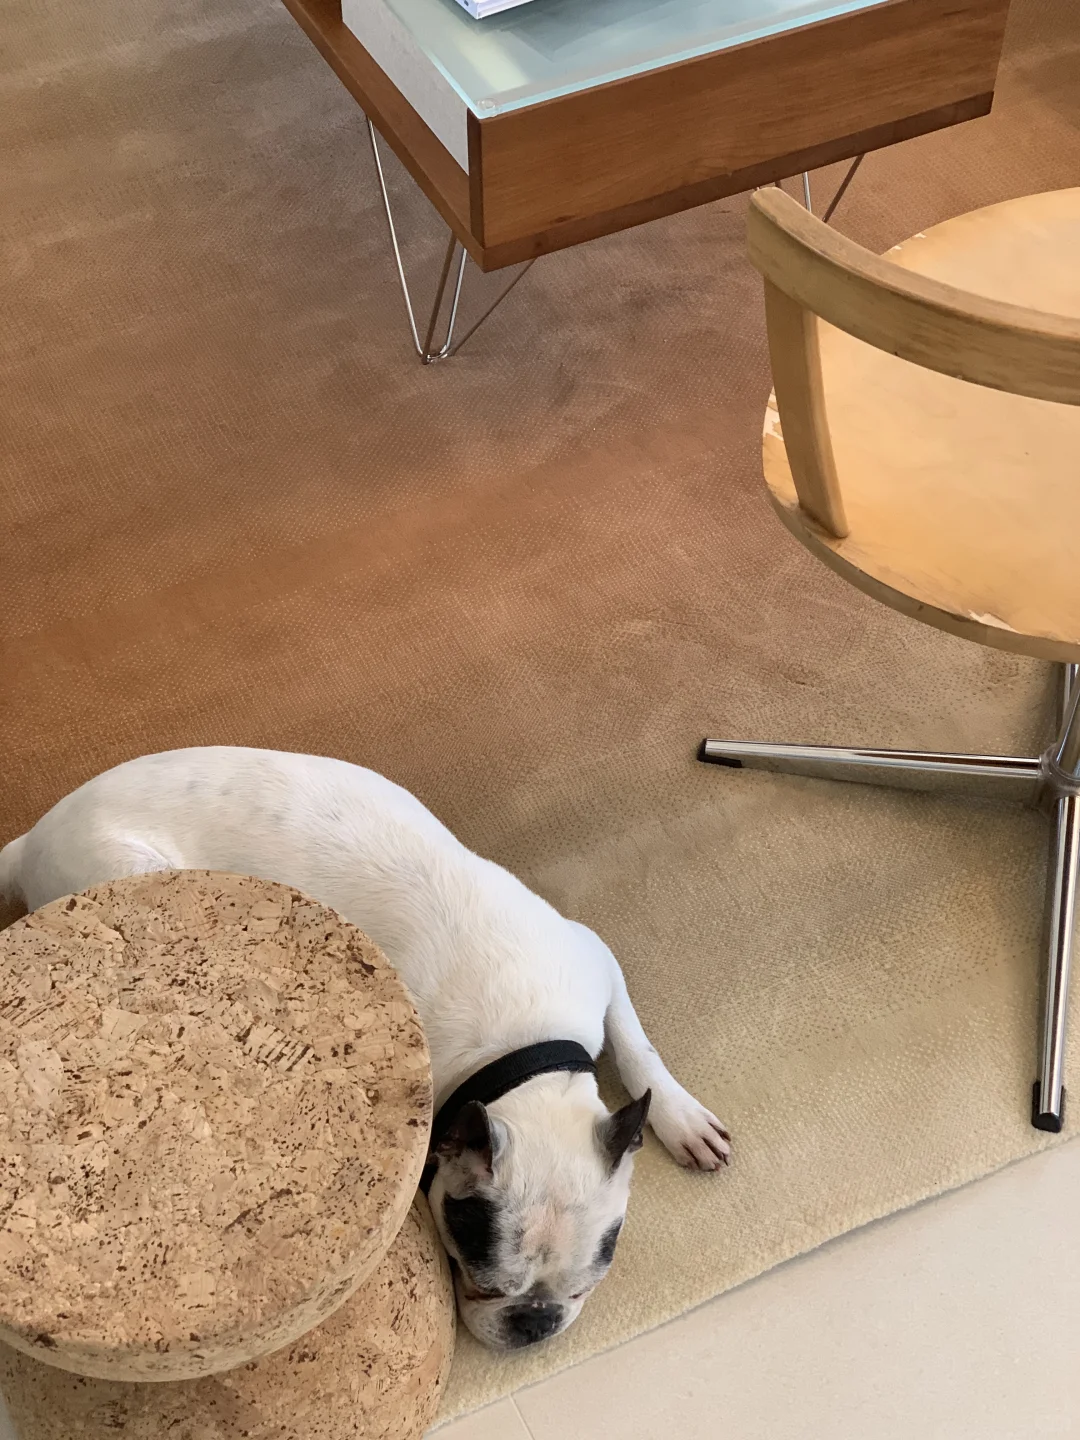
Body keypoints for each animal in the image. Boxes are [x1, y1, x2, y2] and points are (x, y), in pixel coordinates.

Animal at [0, 747, 730, 1350]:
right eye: (479, 1280)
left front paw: (682, 1119)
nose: (535, 1325)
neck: (521, 1052)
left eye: (582, 1287)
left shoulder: (596, 960)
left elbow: (638, 1048)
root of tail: (35, 836)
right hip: (138, 876)